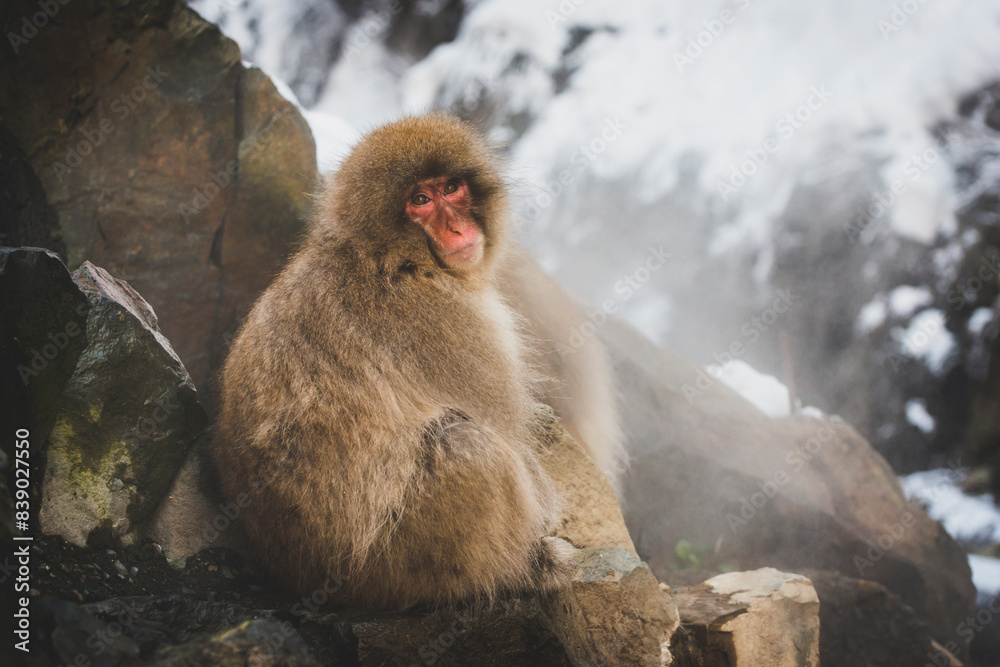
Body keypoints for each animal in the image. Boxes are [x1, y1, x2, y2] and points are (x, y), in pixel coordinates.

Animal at [214, 115, 584, 610]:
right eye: (420, 201)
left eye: (452, 188)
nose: (458, 229)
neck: (390, 257)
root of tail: (300, 580)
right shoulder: (448, 321)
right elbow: (508, 433)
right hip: (393, 569)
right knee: (467, 445)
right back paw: (519, 572)